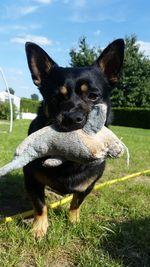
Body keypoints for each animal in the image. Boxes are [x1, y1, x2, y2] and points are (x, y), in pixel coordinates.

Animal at [23, 39, 124, 239]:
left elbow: (77, 202)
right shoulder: (30, 177)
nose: (72, 117)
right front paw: (39, 228)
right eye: (56, 97)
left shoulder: (89, 185)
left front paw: (73, 221)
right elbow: (40, 205)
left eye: (93, 96)